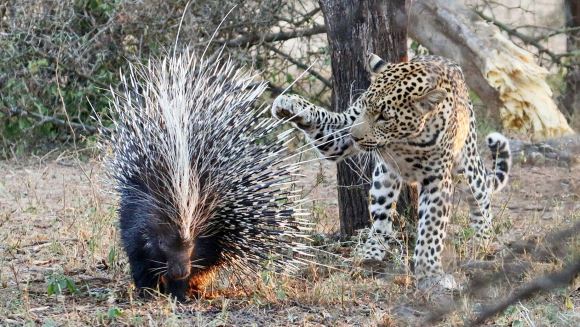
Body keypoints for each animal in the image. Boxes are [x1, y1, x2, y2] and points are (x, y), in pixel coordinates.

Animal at [270, 53, 510, 292]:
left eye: (384, 117)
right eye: (363, 107)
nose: (354, 136)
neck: (405, 140)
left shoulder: (437, 180)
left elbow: (431, 231)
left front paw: (430, 273)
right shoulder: (342, 134)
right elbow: (327, 122)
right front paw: (290, 104)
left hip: (467, 165)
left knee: (480, 196)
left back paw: (483, 241)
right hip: (383, 178)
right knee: (381, 221)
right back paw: (370, 254)